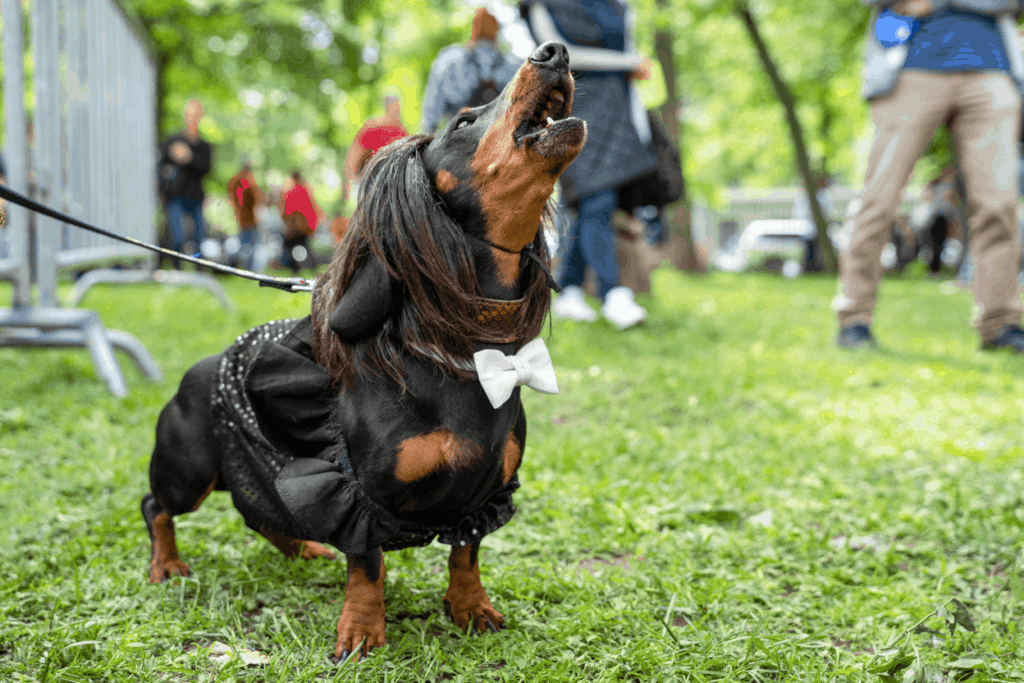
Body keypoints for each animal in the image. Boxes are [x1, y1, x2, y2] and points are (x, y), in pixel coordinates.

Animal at [143, 41, 589, 655]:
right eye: (463, 121)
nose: (554, 51)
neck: (463, 347)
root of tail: (200, 368)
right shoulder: (358, 494)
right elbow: (368, 562)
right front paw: (361, 629)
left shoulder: (484, 494)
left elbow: (466, 552)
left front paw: (470, 608)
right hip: (188, 470)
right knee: (157, 507)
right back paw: (165, 565)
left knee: (260, 515)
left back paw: (304, 548)